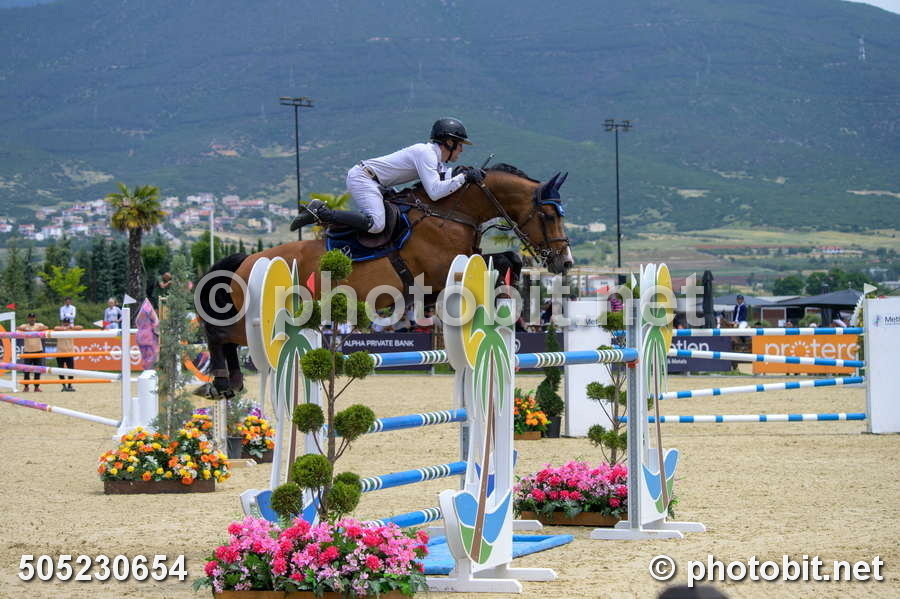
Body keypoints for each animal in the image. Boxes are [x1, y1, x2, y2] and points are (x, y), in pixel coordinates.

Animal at [196, 164, 573, 398]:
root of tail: (246, 260)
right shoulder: (441, 271)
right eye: (548, 215)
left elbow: (503, 263)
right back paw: (221, 382)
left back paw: (229, 383)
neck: (451, 214)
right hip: (261, 319)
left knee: (228, 340)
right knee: (219, 334)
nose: (564, 261)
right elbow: (498, 264)